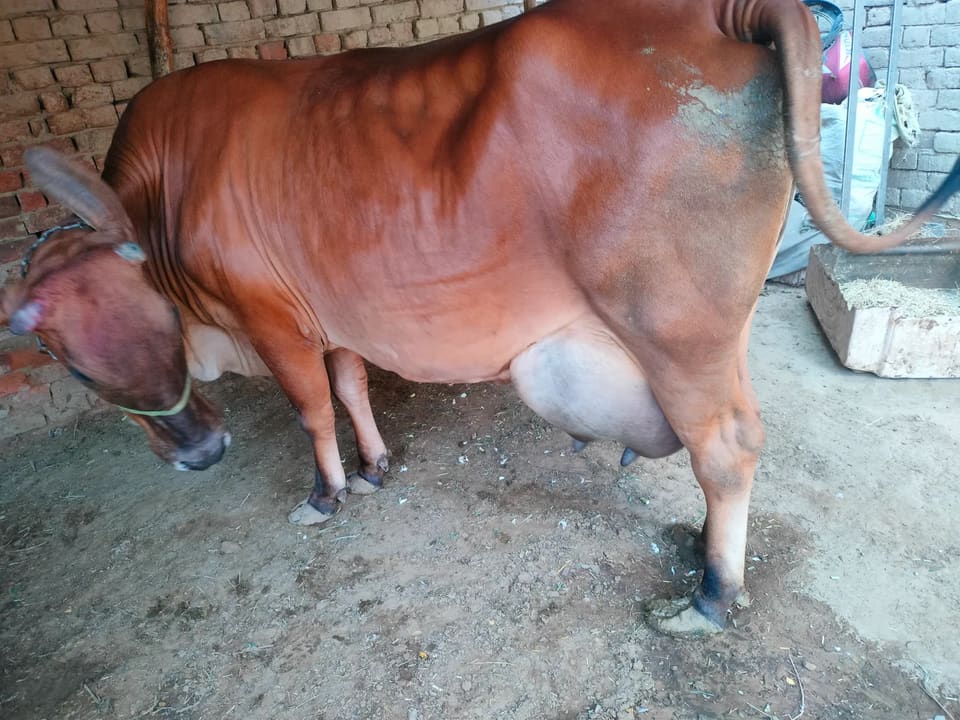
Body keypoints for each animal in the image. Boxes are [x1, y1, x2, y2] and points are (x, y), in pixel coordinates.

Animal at [1, 0, 958, 637]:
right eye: (69, 358)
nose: (200, 454)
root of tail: (718, 13)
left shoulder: (271, 319)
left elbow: (310, 408)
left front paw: (325, 494)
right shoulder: (329, 313)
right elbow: (351, 385)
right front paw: (375, 467)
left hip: (674, 323)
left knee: (725, 446)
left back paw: (710, 597)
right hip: (718, 328)